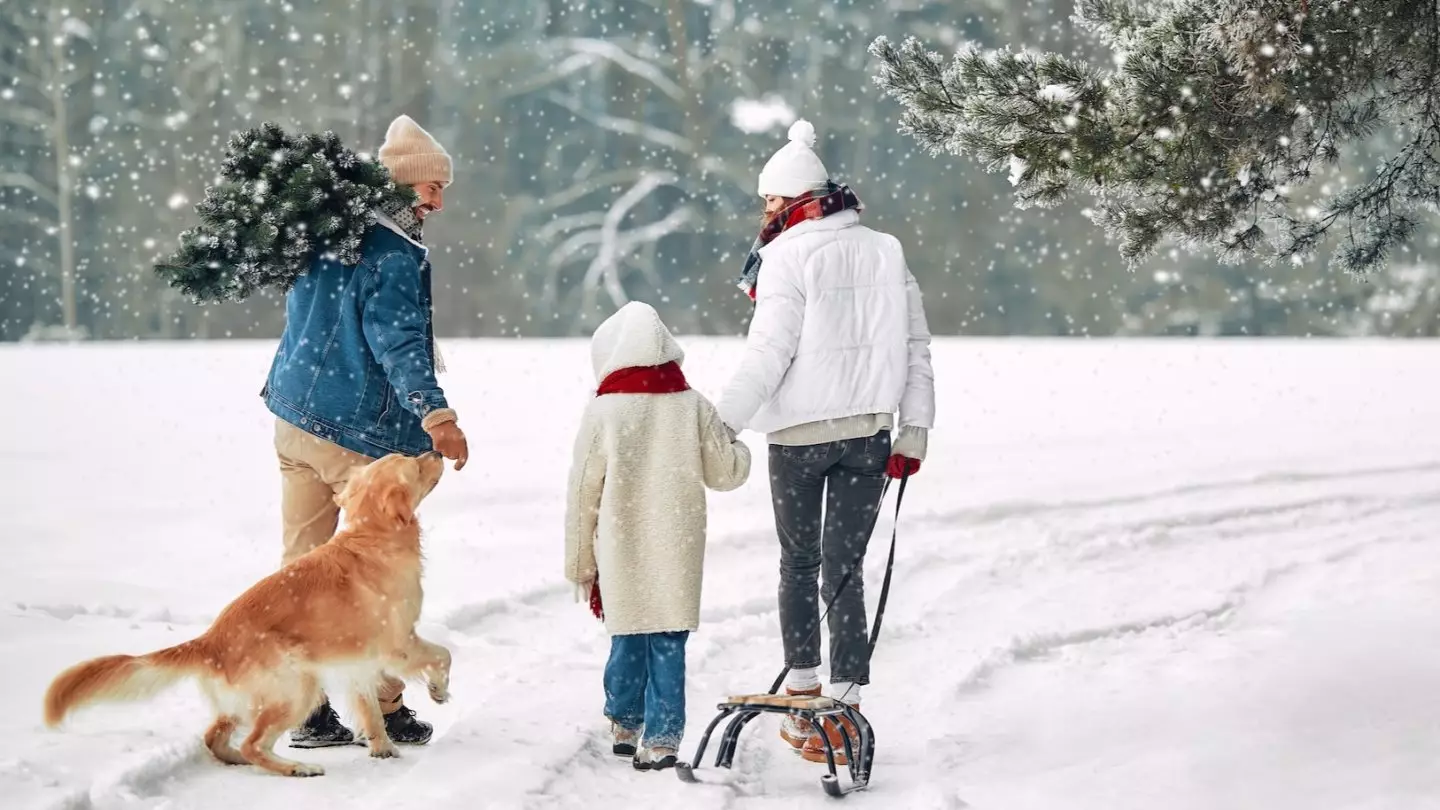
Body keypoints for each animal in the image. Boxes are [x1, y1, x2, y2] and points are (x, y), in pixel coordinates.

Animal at [42, 449, 449, 772]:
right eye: (414, 464)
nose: (435, 451)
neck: (372, 537)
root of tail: (208, 640)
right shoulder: (398, 643)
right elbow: (443, 654)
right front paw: (438, 691)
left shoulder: (360, 662)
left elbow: (372, 712)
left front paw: (383, 749)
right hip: (297, 686)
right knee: (255, 744)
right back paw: (297, 768)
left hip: (245, 701)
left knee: (215, 738)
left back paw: (240, 759)